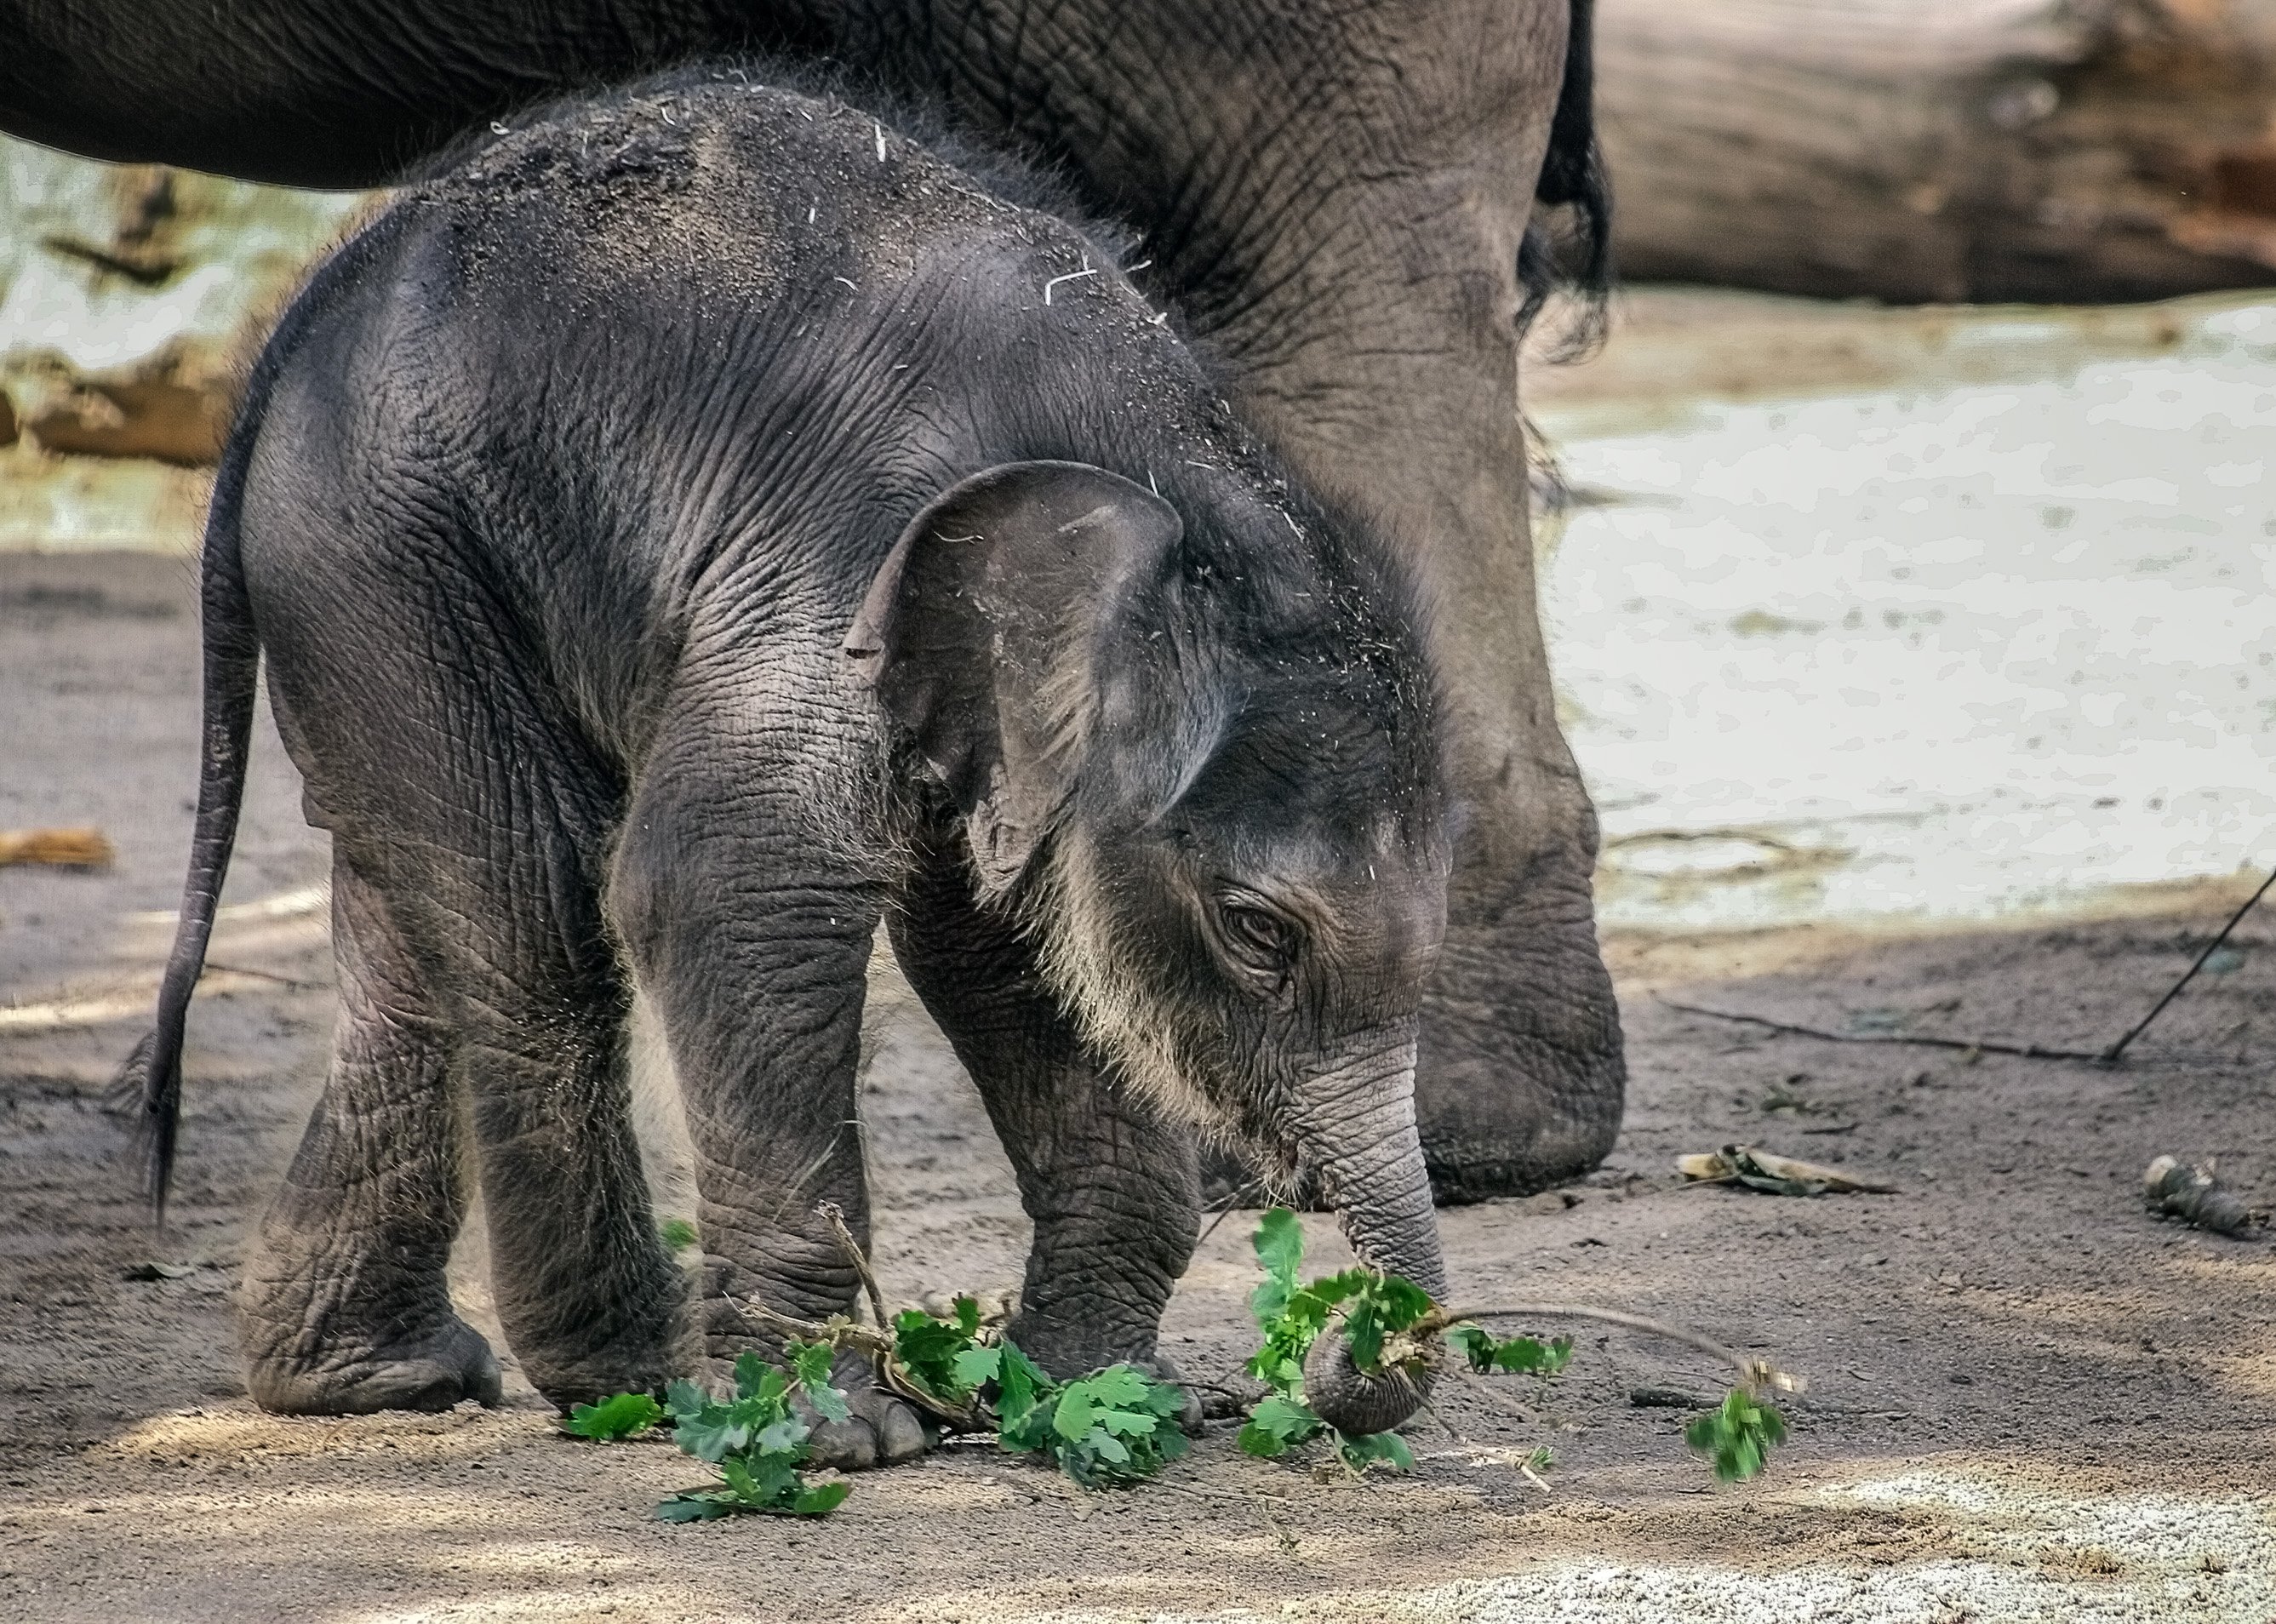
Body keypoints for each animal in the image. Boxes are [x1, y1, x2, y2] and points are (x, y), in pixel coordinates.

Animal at [133, 66, 1447, 1455]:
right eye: (1257, 932)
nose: (1329, 1355)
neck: (1170, 483)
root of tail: (311, 304)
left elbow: (1005, 949)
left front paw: (1094, 1395)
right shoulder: (835, 562)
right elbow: (737, 887)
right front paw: (832, 1439)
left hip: (366, 583)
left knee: (411, 933)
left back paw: (380, 1378)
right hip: (386, 545)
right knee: (532, 915)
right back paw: (633, 1373)